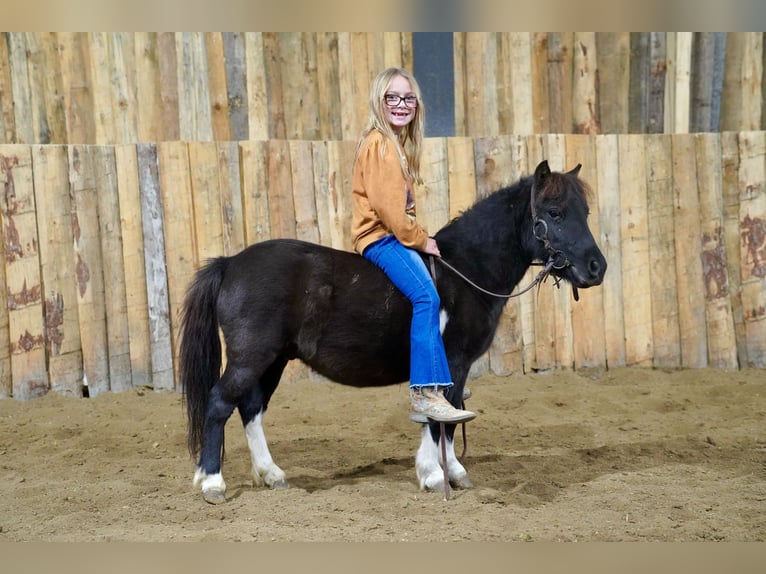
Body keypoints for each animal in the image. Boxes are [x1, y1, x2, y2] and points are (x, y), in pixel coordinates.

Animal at [180, 160, 607, 504]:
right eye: (555, 212)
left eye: (584, 211)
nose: (596, 267)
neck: (464, 270)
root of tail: (230, 262)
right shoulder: (453, 361)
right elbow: (441, 417)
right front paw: (435, 475)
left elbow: (450, 417)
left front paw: (452, 471)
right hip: (251, 358)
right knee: (219, 404)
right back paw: (212, 482)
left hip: (273, 360)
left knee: (250, 408)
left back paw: (270, 475)